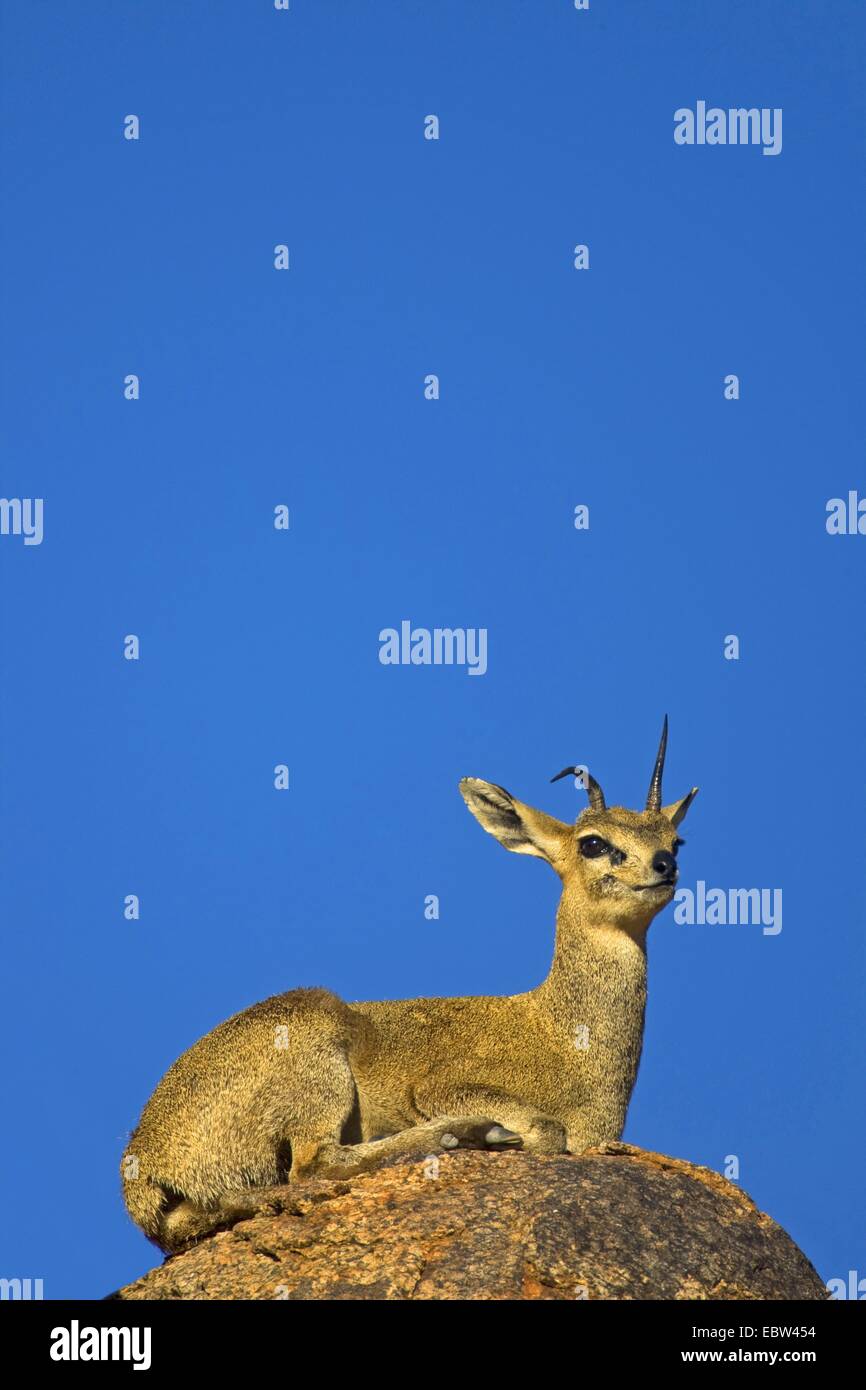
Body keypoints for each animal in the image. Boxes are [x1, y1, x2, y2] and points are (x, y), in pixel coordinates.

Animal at [122, 717, 697, 1251]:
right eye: (594, 843)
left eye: (676, 839)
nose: (664, 866)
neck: (562, 1035)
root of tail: (144, 1162)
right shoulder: (440, 1087)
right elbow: (547, 1131)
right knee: (313, 1165)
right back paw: (468, 1133)